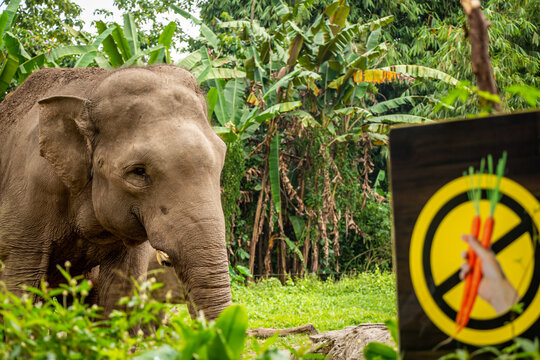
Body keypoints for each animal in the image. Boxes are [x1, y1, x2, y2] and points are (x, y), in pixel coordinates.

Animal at [0, 66, 232, 320]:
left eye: (222, 158)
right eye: (138, 172)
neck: (91, 90)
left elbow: (121, 290)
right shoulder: (28, 195)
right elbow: (18, 285)